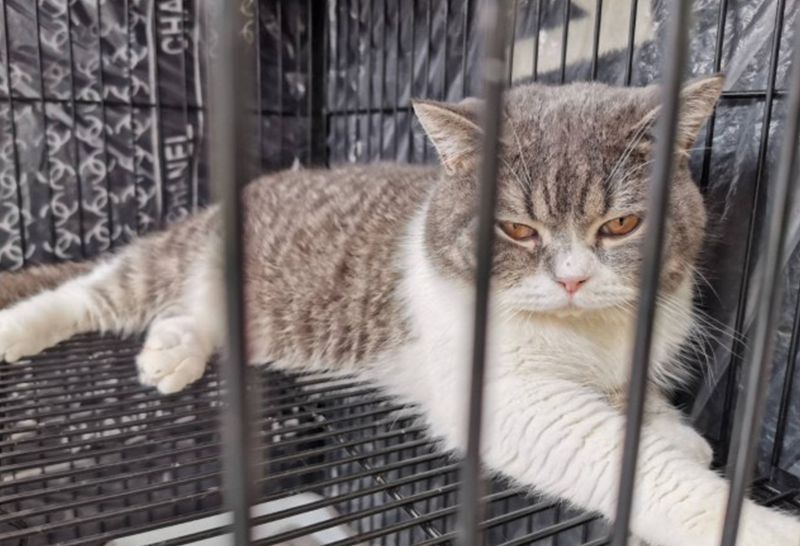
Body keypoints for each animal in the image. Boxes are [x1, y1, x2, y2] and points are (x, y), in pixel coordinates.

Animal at [1, 76, 798, 546]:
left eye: (622, 226)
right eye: (516, 230)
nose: (573, 279)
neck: (590, 335)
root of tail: (250, 187)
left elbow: (639, 409)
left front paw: (674, 430)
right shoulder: (504, 393)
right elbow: (618, 457)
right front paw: (748, 523)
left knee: (195, 314)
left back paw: (174, 348)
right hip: (173, 258)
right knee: (93, 290)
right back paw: (20, 328)